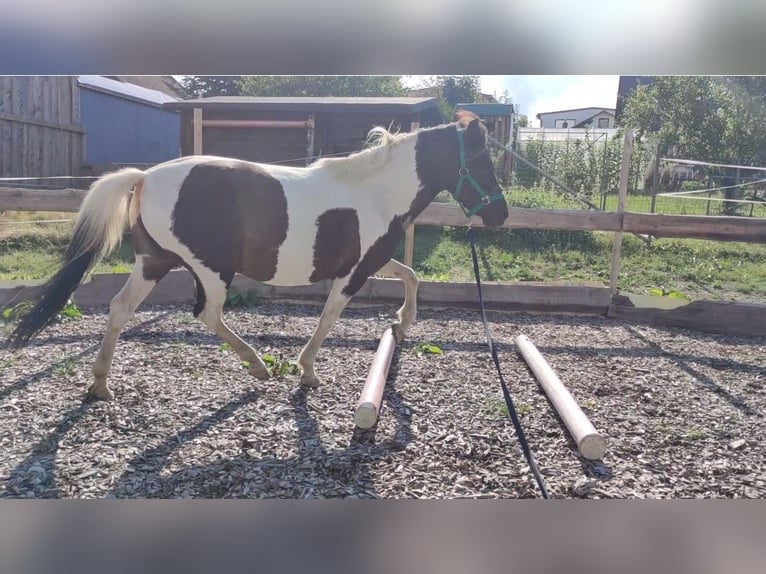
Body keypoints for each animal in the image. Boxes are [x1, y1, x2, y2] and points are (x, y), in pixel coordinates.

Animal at [7, 110, 510, 402]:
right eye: (482, 162)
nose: (501, 215)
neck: (375, 191)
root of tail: (145, 177)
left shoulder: (369, 261)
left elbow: (410, 276)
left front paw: (403, 324)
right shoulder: (352, 274)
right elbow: (329, 318)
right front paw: (307, 372)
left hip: (154, 263)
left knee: (119, 309)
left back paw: (100, 385)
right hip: (210, 269)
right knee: (207, 314)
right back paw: (258, 366)